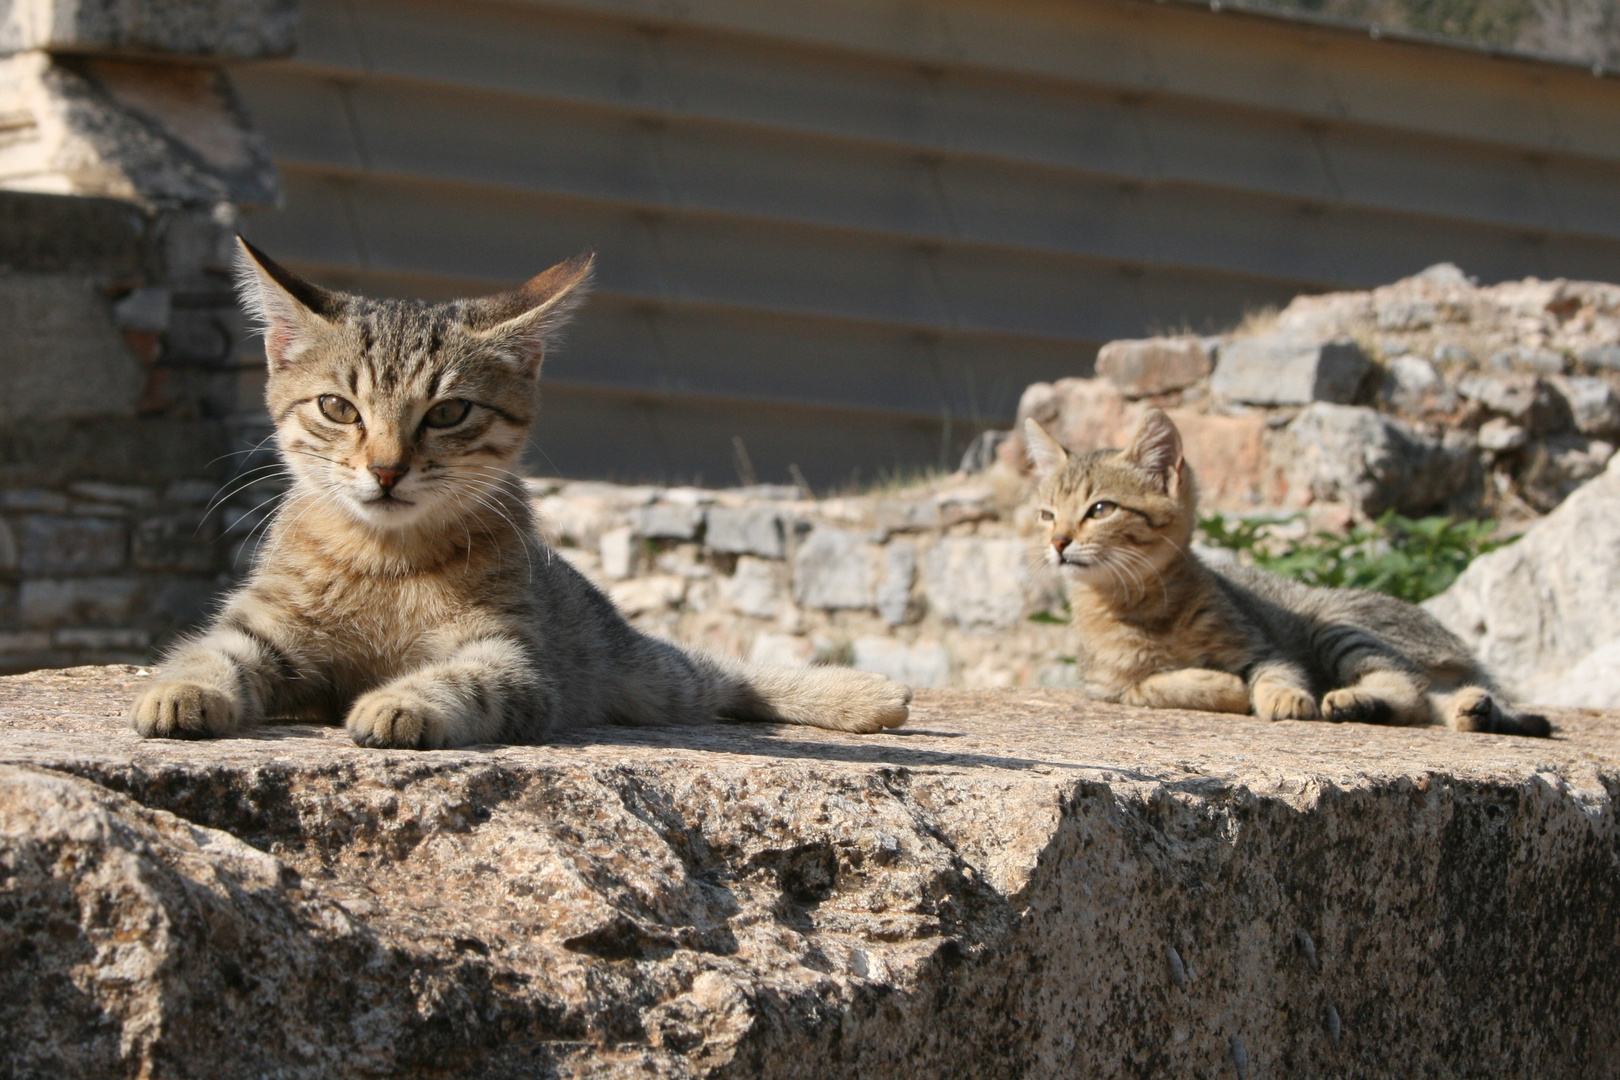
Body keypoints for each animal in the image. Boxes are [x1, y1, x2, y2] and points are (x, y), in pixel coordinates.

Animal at [126, 242, 913, 751]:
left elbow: (464, 681)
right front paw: (179, 692)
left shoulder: (512, 657)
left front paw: (403, 700)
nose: (385, 470)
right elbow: (210, 652)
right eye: (338, 408)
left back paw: (867, 697)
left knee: (726, 676)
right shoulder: (266, 626)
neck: (385, 559)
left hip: (637, 670)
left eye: (448, 412)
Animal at [1030, 409, 1548, 738]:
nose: (1058, 542)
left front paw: (1280, 696)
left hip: (1337, 627)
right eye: (1046, 515)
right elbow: (1152, 684)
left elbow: (1274, 674)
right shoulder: (1108, 688)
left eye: (1100, 509)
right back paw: (1465, 710)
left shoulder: (1264, 647)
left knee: (1409, 689)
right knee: (1425, 701)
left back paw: (1359, 701)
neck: (1143, 606)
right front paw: (1222, 686)